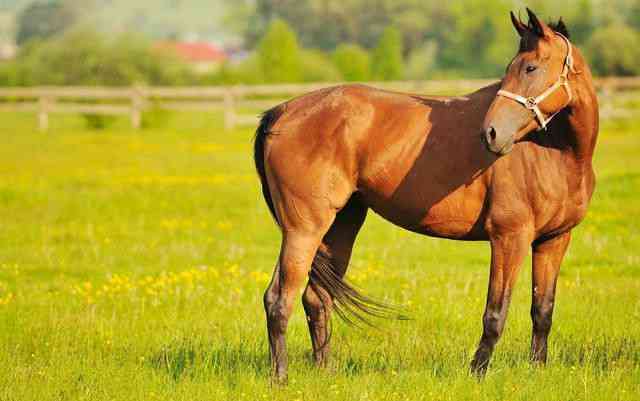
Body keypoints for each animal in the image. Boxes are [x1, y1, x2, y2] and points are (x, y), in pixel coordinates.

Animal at [252, 7, 596, 382]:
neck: (556, 150)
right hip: (303, 230)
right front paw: (477, 374)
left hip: (339, 226)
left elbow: (542, 310)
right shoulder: (509, 237)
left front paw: (537, 370)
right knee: (279, 299)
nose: (490, 133)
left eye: (530, 67)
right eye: (511, 68)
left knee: (316, 298)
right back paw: (280, 378)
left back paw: (324, 372)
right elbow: (495, 313)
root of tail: (280, 113)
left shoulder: (554, 240)